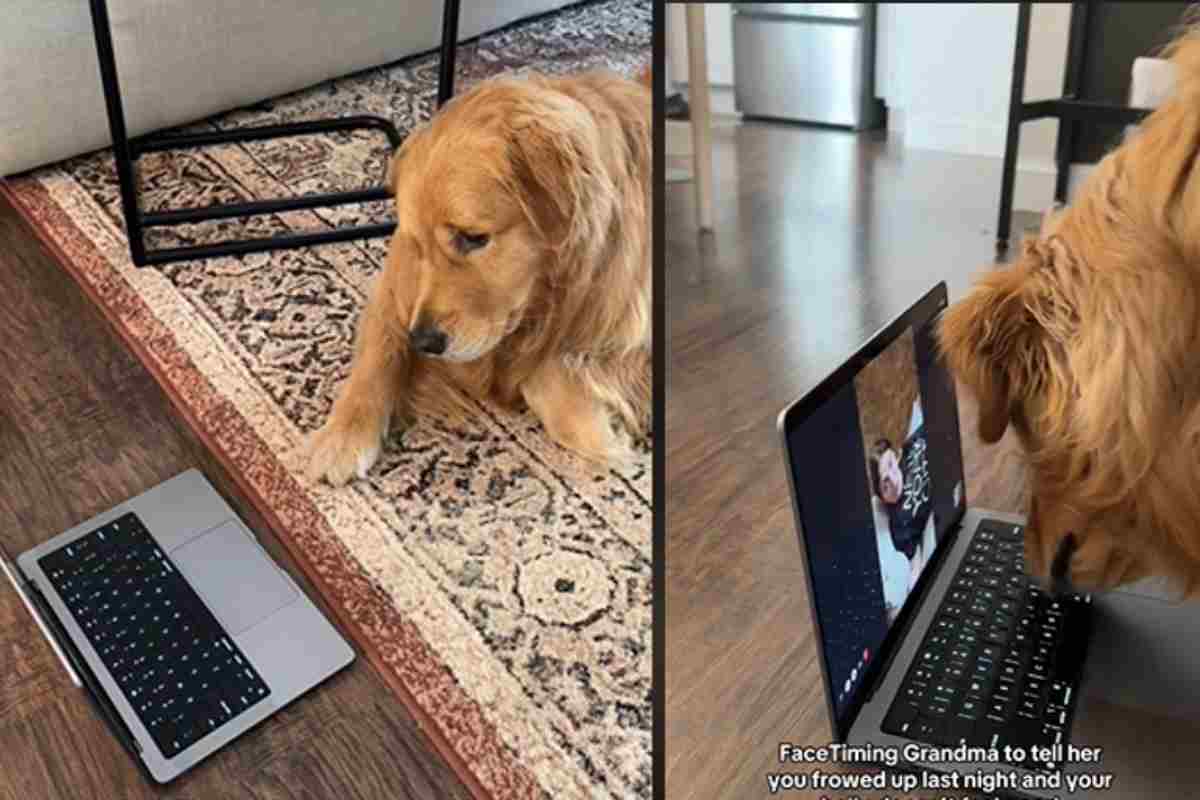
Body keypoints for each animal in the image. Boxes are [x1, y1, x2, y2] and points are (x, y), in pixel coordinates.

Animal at [304, 67, 652, 489]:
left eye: (472, 238)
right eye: (419, 245)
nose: (424, 341)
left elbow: (544, 372)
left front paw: (599, 429)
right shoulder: (399, 281)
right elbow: (378, 351)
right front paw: (342, 435)